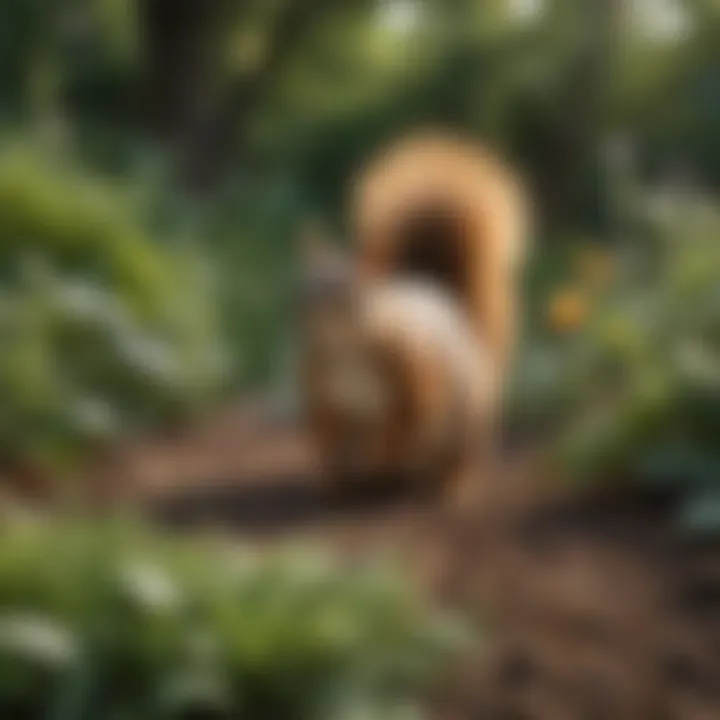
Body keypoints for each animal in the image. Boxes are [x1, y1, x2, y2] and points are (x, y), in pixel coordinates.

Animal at [296, 131, 528, 500]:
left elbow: (407, 419)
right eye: (304, 288)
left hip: (466, 419)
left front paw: (381, 452)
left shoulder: (411, 367)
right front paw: (335, 478)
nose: (315, 316)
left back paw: (452, 484)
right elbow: (327, 428)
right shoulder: (320, 382)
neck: (347, 348)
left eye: (347, 292)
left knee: (461, 456)